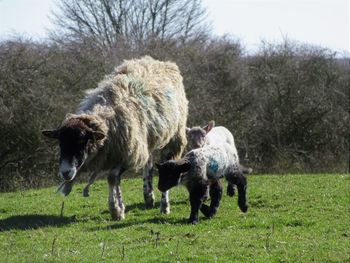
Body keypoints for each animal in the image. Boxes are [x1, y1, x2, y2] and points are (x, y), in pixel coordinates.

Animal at [43, 56, 189, 221]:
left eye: (82, 141)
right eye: (60, 143)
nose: (65, 172)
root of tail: (159, 61)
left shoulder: (128, 154)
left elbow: (112, 178)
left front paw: (115, 209)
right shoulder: (117, 153)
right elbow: (116, 179)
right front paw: (120, 208)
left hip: (174, 136)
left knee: (165, 164)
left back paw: (164, 206)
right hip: (147, 139)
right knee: (148, 162)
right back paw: (148, 196)